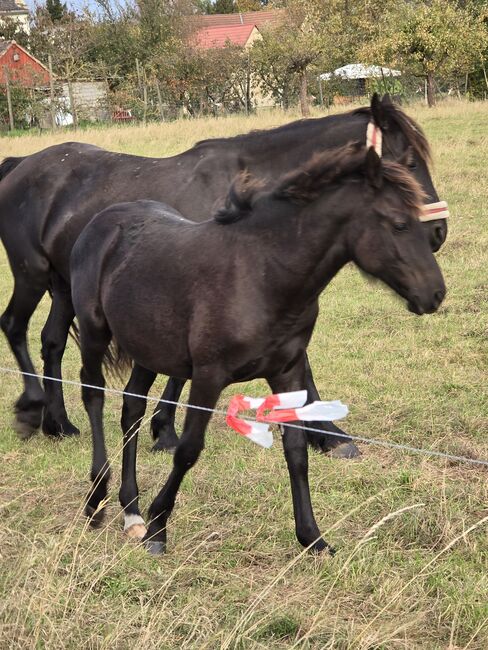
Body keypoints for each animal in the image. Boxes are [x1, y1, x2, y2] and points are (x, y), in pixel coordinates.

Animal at [0, 95, 448, 460]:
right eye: (409, 164)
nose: (438, 232)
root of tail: (19, 165)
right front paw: (328, 435)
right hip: (31, 275)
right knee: (14, 326)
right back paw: (33, 409)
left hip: (64, 288)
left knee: (52, 342)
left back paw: (59, 423)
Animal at [70, 144, 448, 556]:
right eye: (399, 224)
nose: (435, 293)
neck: (262, 273)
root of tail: (101, 221)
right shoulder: (208, 375)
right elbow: (188, 450)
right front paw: (158, 529)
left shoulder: (287, 371)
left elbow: (296, 451)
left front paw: (313, 538)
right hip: (94, 333)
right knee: (93, 395)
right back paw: (97, 501)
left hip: (148, 348)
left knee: (132, 409)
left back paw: (131, 510)